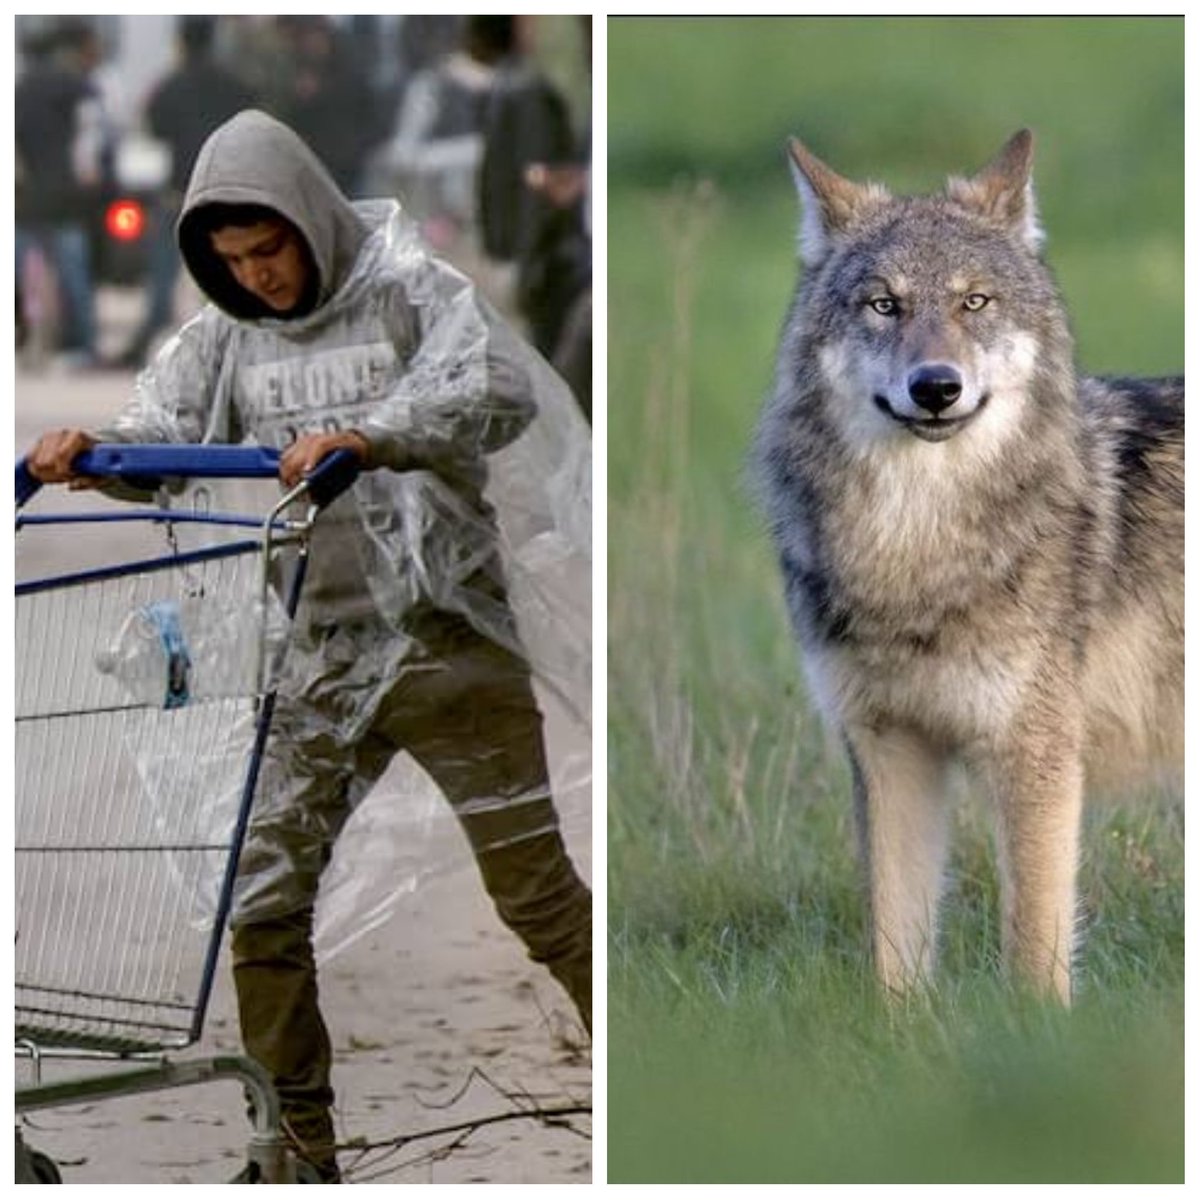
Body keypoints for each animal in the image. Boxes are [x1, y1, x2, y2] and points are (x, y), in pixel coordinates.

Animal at [753, 130, 1182, 1003]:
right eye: (884, 305)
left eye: (974, 303)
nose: (936, 387)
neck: (914, 554)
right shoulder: (890, 751)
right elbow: (895, 949)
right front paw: (899, 1031)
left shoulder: (1036, 757)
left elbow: (1034, 948)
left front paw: (1036, 1032)